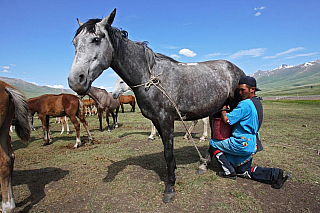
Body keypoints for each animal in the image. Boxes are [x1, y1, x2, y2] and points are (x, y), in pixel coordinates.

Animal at [69, 9, 245, 202]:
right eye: (74, 43)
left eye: (96, 39)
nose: (75, 80)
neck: (150, 78)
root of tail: (235, 69)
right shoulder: (157, 120)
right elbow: (166, 151)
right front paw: (172, 172)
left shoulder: (166, 120)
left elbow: (168, 152)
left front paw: (170, 187)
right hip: (216, 109)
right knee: (214, 136)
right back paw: (203, 164)